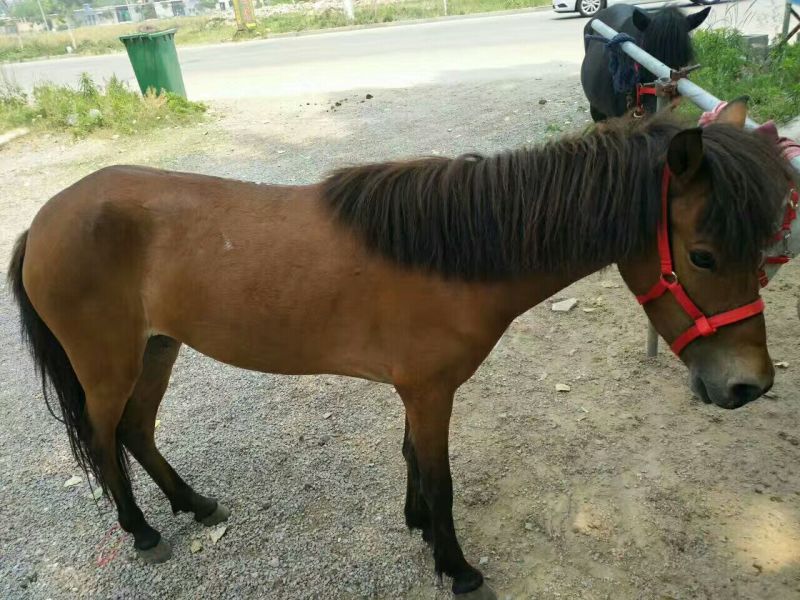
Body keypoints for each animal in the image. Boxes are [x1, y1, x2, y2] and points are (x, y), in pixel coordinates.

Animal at [8, 106, 791, 599]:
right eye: (703, 254)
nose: (749, 386)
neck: (458, 252)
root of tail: (43, 219)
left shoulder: (417, 393)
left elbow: (412, 458)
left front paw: (417, 527)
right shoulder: (430, 390)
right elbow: (438, 476)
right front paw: (457, 567)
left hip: (158, 350)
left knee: (137, 432)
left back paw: (193, 505)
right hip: (109, 364)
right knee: (105, 440)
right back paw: (143, 532)